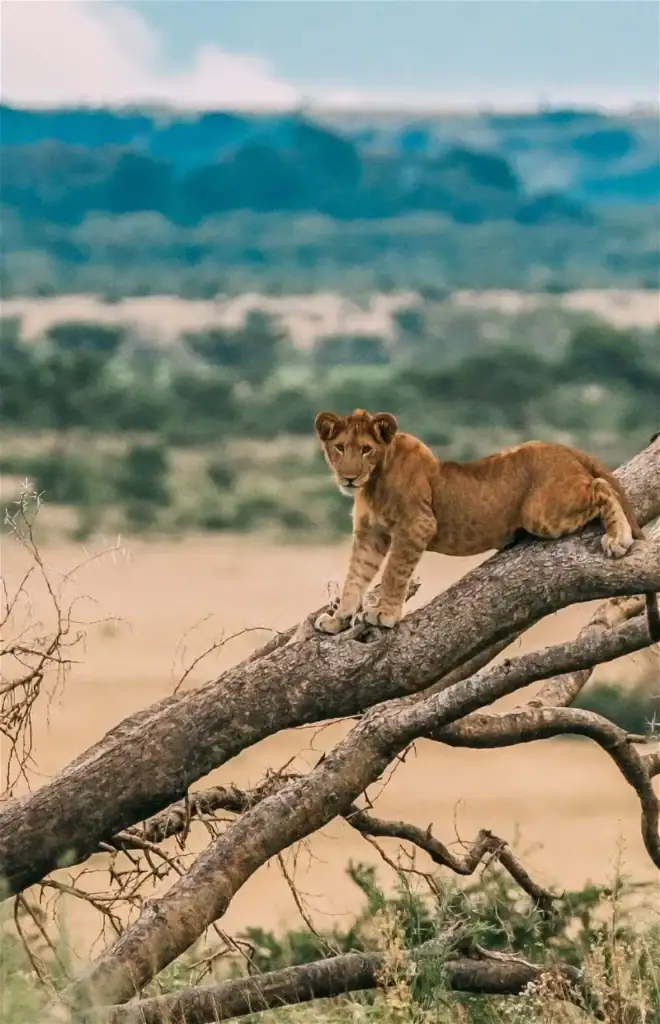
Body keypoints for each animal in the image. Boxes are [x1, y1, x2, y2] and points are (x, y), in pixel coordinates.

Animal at [313, 408, 660, 641]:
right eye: (340, 447)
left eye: (366, 450)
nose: (349, 477)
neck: (372, 484)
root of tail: (563, 448)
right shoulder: (370, 534)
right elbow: (355, 577)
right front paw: (338, 620)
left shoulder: (417, 524)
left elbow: (393, 573)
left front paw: (384, 614)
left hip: (541, 511)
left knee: (600, 486)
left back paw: (618, 538)